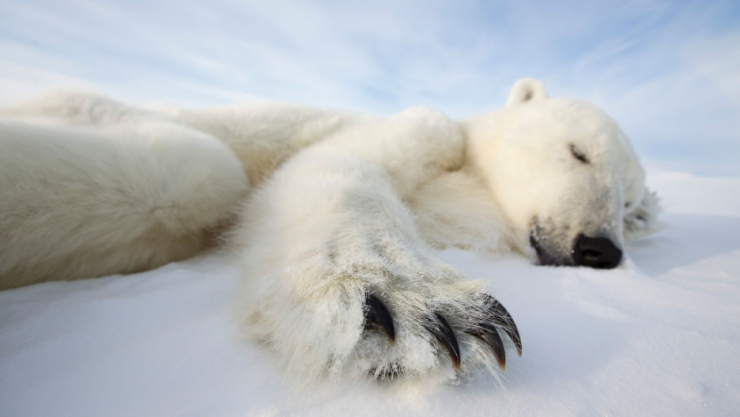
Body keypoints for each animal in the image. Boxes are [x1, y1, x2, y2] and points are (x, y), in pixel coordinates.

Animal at [0, 79, 660, 383]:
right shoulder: (432, 129)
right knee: (195, 168)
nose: (599, 247)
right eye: (578, 152)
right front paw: (414, 307)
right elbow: (338, 165)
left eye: (626, 202)